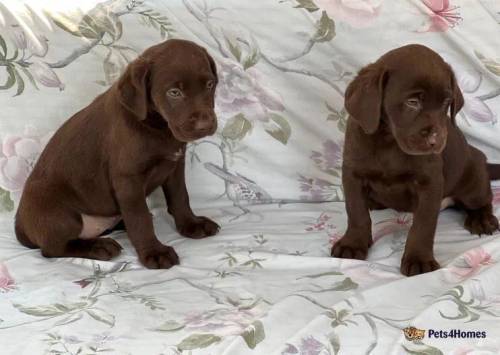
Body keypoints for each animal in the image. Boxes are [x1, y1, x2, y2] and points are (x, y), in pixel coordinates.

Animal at [14, 39, 219, 268]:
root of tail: (21, 228)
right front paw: (154, 252)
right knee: (53, 248)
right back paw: (99, 246)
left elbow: (180, 197)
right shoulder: (128, 179)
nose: (205, 125)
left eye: (210, 85)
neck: (157, 126)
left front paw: (191, 224)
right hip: (56, 211)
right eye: (174, 92)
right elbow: (139, 218)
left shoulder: (174, 165)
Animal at [332, 44, 500, 276]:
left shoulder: (430, 183)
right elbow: (356, 211)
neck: (389, 141)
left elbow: (423, 225)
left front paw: (419, 259)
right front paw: (352, 243)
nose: (436, 140)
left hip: (472, 181)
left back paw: (481, 219)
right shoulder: (352, 173)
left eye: (446, 102)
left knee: (483, 199)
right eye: (412, 102)